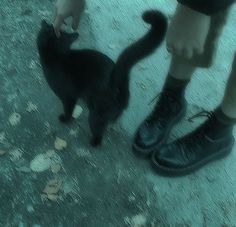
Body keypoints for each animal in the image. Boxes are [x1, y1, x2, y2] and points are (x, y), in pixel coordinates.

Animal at [37, 9, 167, 146]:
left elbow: (69, 109)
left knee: (98, 131)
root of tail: (118, 87)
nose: (75, 33)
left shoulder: (68, 97)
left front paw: (65, 119)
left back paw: (94, 142)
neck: (56, 56)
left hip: (96, 114)